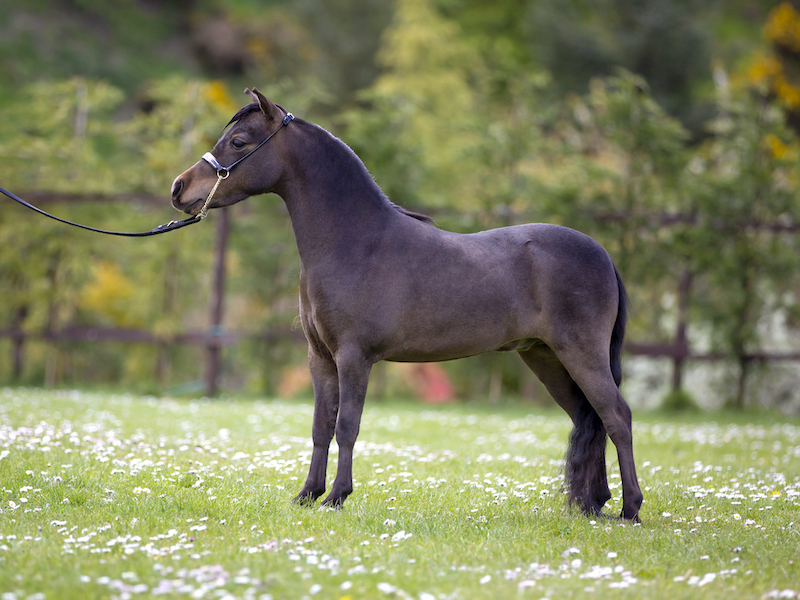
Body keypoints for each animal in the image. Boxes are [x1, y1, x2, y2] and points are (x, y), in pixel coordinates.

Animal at [170, 88, 643, 521]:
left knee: (617, 417)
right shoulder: (319, 358)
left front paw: (337, 496)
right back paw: (592, 503)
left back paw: (630, 508)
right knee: (587, 417)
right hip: (546, 358)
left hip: (581, 353)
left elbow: (347, 426)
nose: (179, 188)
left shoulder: (354, 357)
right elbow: (321, 426)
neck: (353, 241)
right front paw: (307, 494)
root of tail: (602, 254)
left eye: (238, 142)